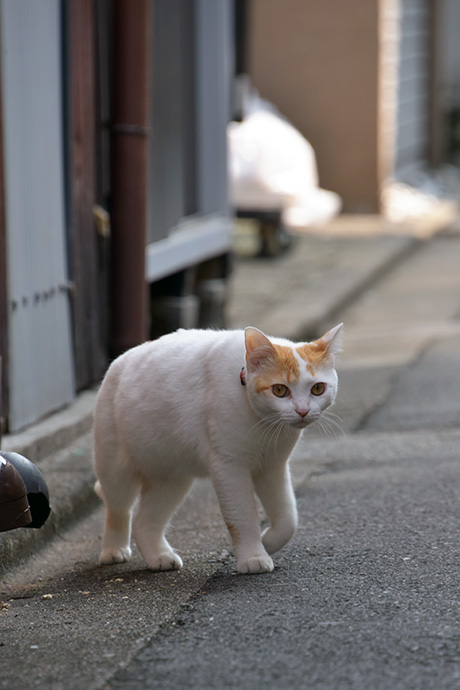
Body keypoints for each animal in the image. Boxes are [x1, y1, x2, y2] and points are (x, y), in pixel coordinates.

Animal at [92, 326, 342, 572]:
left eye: (318, 389)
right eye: (279, 390)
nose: (302, 411)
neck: (265, 427)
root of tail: (120, 359)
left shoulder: (272, 467)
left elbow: (289, 518)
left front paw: (268, 542)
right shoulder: (230, 468)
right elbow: (243, 517)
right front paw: (253, 557)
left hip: (171, 480)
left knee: (143, 523)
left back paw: (159, 557)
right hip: (117, 474)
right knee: (118, 510)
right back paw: (113, 551)